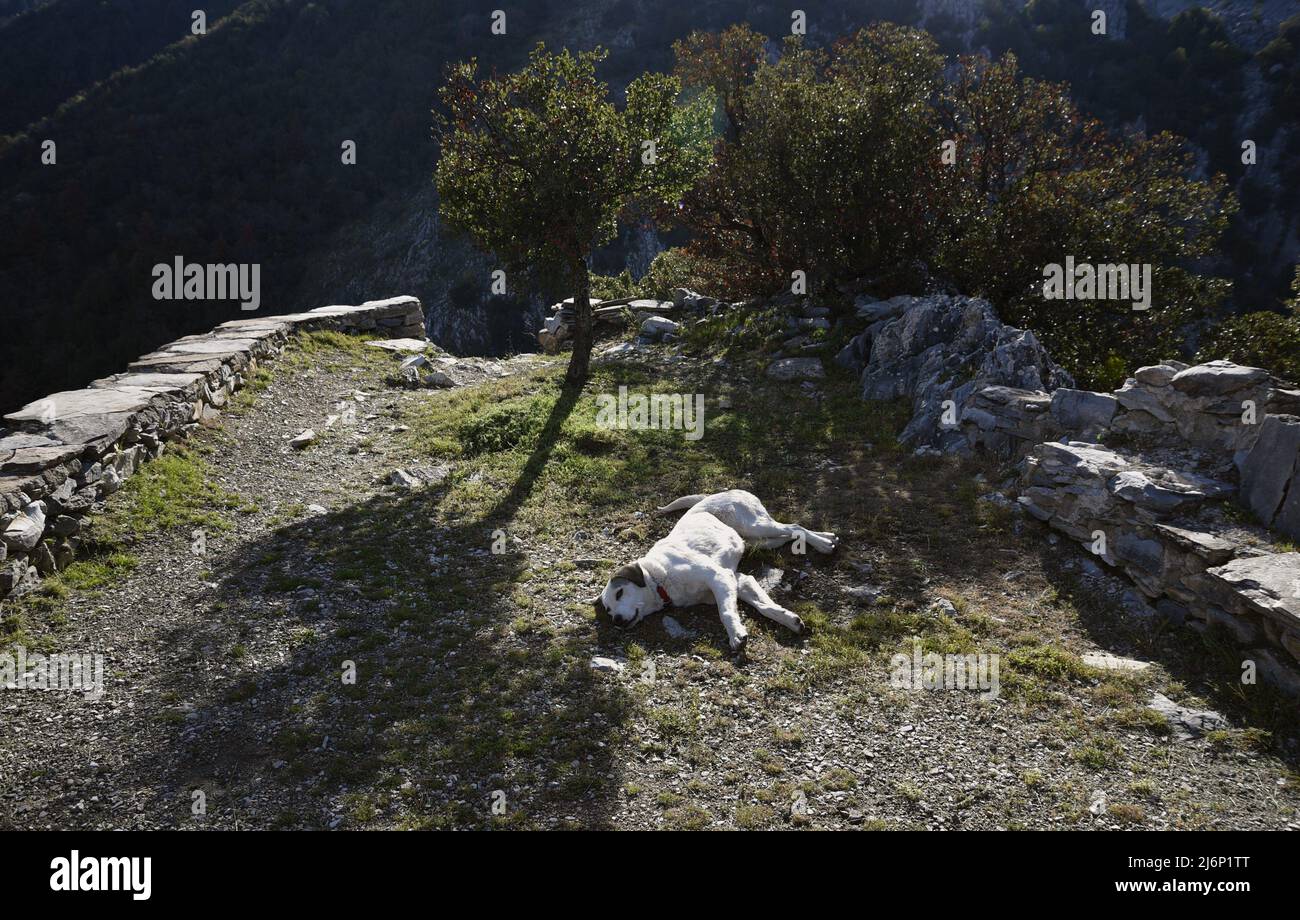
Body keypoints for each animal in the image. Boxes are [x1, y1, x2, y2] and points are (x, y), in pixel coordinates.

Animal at [595, 488, 837, 654]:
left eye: (620, 593)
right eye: (608, 610)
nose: (616, 620)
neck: (659, 579)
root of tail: (720, 492)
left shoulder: (719, 577)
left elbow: (726, 612)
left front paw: (736, 635)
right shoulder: (737, 580)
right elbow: (764, 606)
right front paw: (788, 619)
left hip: (756, 526)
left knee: (794, 526)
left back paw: (825, 543)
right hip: (763, 541)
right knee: (789, 534)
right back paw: (827, 538)